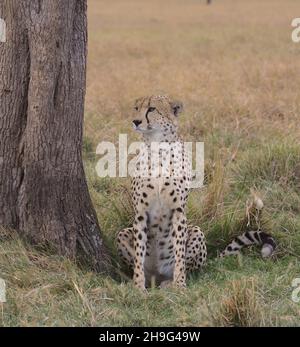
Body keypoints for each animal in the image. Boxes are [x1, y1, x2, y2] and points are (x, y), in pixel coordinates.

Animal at [116, 95, 276, 290]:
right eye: (136, 108)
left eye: (152, 109)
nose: (136, 121)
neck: (157, 147)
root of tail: (157, 277)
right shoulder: (141, 212)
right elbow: (139, 252)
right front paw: (138, 286)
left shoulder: (178, 211)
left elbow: (179, 251)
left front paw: (180, 284)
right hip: (123, 233)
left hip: (197, 231)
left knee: (190, 266)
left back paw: (170, 282)